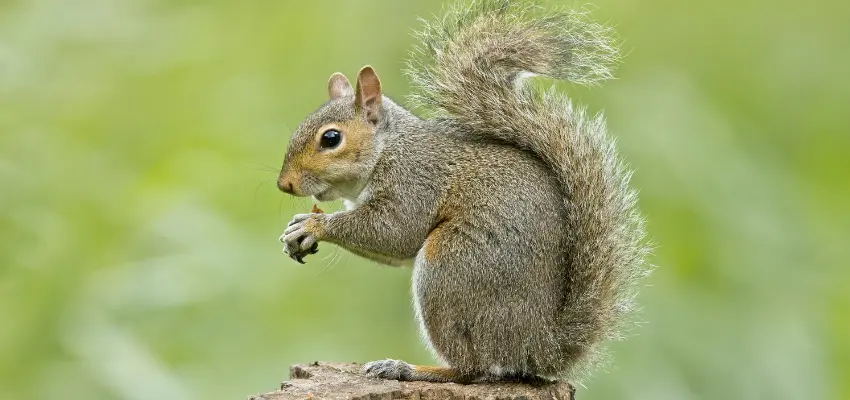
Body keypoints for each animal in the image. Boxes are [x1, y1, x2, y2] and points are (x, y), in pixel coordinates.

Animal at [274, 0, 644, 384]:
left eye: (331, 138)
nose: (284, 184)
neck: (389, 149)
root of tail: (536, 347)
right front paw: (297, 228)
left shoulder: (415, 181)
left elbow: (395, 233)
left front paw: (313, 226)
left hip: (450, 268)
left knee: (471, 368)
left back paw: (409, 368)